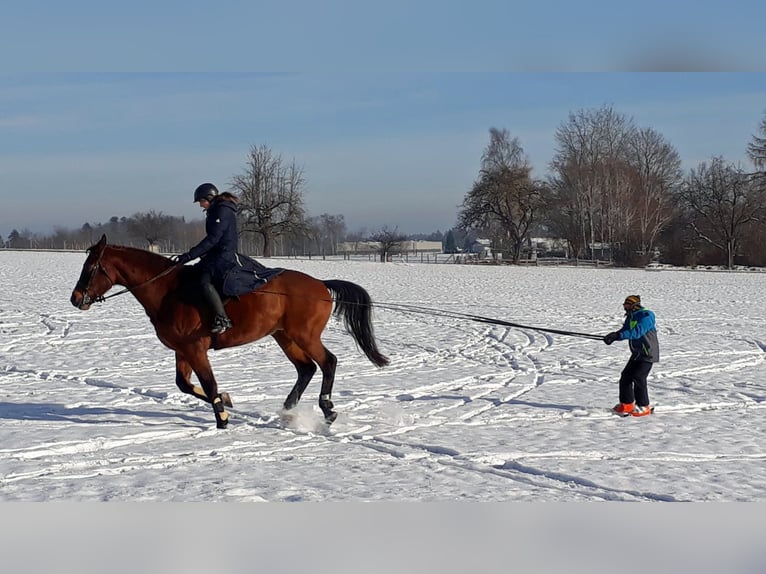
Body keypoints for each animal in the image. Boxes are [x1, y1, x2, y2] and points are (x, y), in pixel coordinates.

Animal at [70, 234, 390, 428]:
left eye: (91, 267)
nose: (75, 298)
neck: (167, 291)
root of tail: (321, 284)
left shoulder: (195, 348)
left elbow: (207, 383)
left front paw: (222, 417)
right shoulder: (183, 350)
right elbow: (184, 384)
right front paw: (226, 400)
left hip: (304, 336)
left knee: (327, 362)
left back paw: (328, 409)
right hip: (284, 336)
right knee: (306, 368)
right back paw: (287, 410)